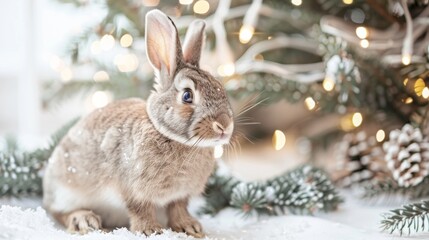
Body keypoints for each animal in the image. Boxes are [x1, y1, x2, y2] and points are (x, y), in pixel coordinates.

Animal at [41, 9, 232, 238]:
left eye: (220, 87)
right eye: (187, 96)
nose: (224, 126)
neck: (171, 137)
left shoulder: (180, 195)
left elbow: (178, 208)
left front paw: (190, 227)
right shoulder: (133, 189)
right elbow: (140, 208)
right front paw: (150, 230)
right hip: (66, 190)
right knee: (58, 212)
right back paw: (84, 220)